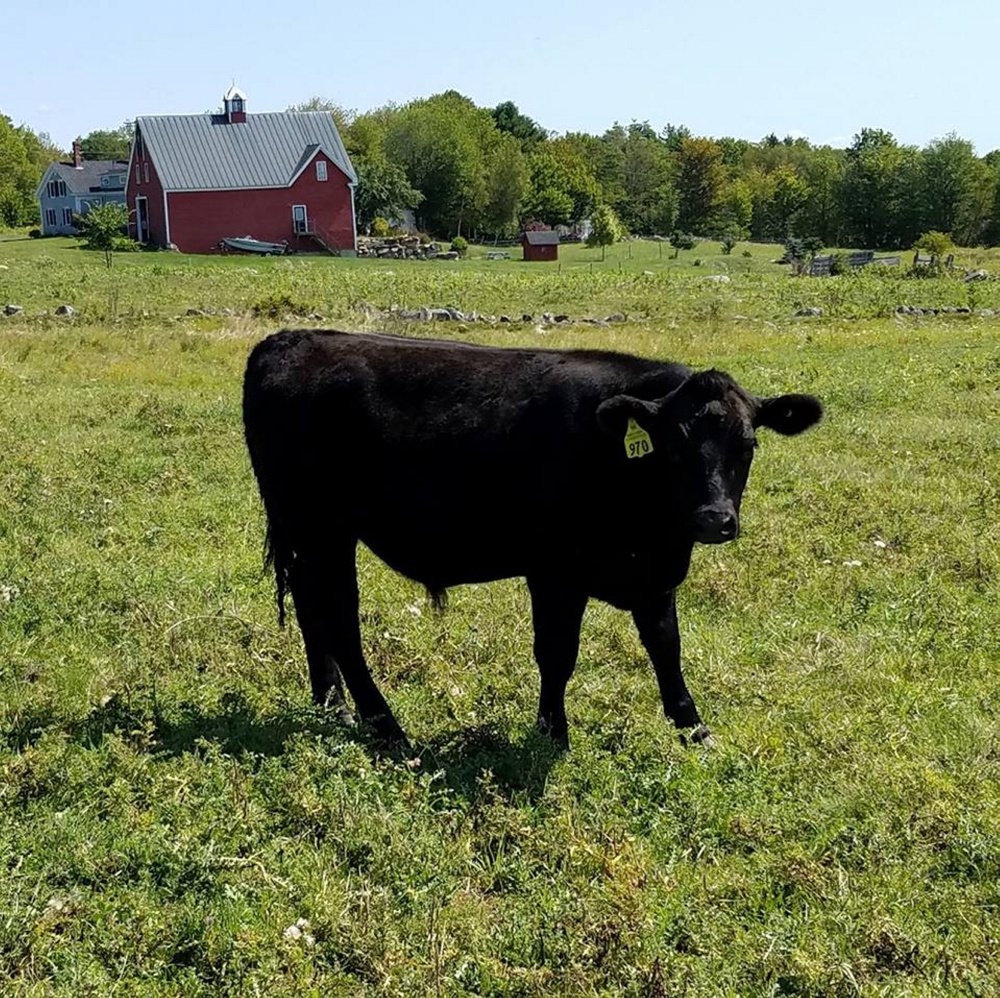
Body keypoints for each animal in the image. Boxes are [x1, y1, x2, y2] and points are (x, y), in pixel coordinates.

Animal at [242, 330, 820, 752]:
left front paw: (694, 729)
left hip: (308, 535)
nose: (713, 518)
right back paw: (388, 730)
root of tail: (288, 338)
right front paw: (552, 734)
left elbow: (666, 646)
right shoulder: (555, 572)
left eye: (748, 444)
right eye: (671, 446)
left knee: (311, 611)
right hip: (322, 529)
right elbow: (557, 653)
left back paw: (333, 706)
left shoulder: (656, 575)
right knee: (339, 620)